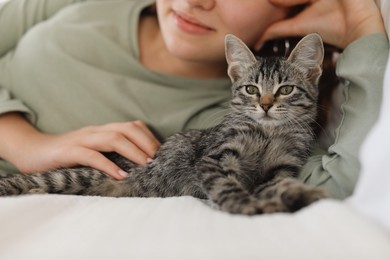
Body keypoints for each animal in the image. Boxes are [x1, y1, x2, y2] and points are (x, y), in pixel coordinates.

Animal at [0, 33, 326, 215]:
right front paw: (246, 206)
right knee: (28, 181)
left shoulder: (281, 168)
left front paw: (299, 195)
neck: (270, 132)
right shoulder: (216, 158)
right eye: (251, 89)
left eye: (286, 89)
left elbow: (280, 184)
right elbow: (227, 186)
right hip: (72, 176)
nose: (266, 105)